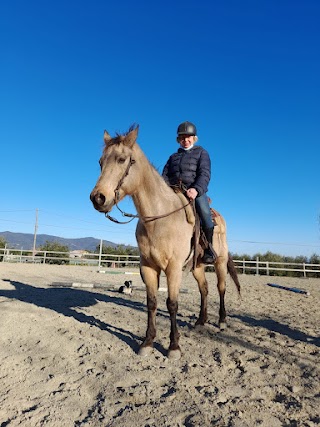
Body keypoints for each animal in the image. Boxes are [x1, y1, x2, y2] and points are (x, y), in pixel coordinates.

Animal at [90, 124, 240, 362]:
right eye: (100, 161)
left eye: (122, 159)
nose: (98, 198)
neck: (159, 220)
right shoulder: (148, 267)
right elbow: (152, 302)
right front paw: (148, 342)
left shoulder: (173, 268)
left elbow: (172, 304)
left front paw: (174, 346)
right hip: (197, 266)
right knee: (204, 289)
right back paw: (201, 321)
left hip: (220, 262)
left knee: (221, 288)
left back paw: (222, 321)